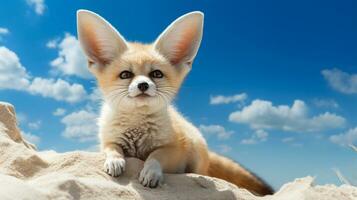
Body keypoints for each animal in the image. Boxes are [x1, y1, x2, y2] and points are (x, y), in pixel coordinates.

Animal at [77, 9, 272, 195]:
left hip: (196, 151)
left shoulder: (175, 148)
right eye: (125, 75)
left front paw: (151, 171)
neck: (137, 130)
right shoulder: (107, 140)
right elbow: (112, 148)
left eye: (156, 74)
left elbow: (156, 156)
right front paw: (115, 161)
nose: (143, 85)